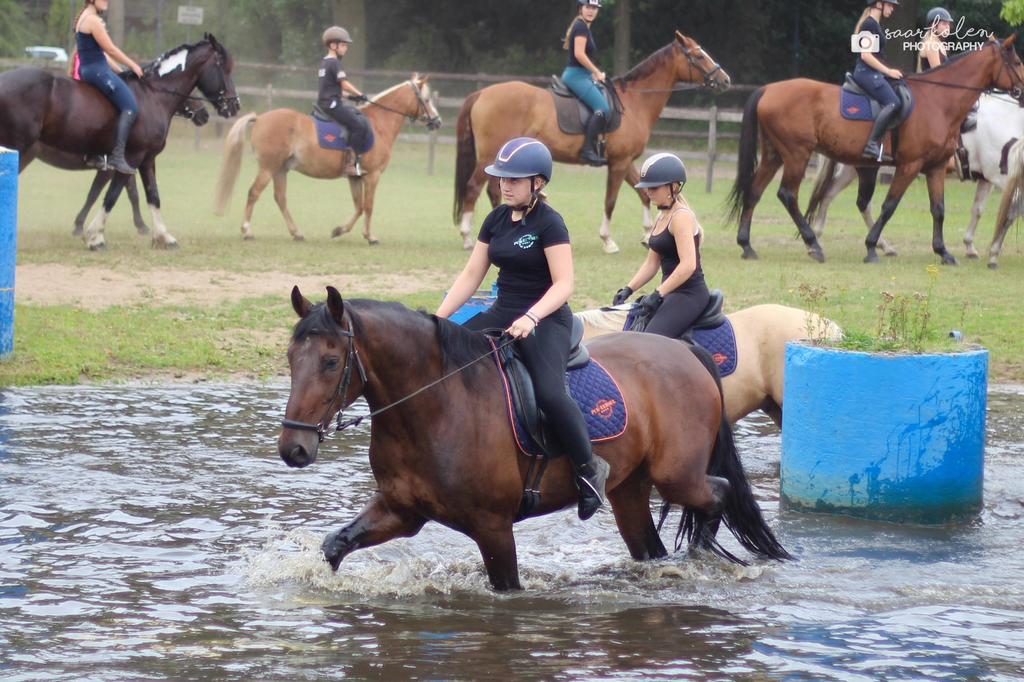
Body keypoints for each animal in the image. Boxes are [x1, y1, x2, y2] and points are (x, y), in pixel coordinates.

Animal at [0, 34, 240, 250]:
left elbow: (152, 196)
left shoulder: (146, 160)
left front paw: (164, 237)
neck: (153, 96)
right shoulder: (129, 159)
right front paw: (95, 237)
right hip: (18, 149)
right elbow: (111, 196)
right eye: (225, 69)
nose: (234, 106)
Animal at [213, 75, 441, 245]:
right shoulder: (373, 175)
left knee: (280, 198)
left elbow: (359, 207)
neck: (378, 125)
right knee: (254, 193)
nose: (437, 122)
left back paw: (296, 233)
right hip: (268, 168)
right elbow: (368, 206)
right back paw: (247, 231)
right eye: (426, 100)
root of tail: (260, 118)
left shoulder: (356, 177)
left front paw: (339, 230)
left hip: (280, 170)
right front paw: (370, 237)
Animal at [278, 286, 790, 591]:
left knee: (717, 492)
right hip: (630, 489)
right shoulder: (402, 510)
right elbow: (335, 546)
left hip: (677, 475)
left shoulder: (492, 526)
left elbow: (507, 587)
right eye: (289, 358)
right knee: (651, 544)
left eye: (330, 362)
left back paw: (700, 558)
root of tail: (684, 350)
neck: (434, 404)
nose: (293, 450)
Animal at [452, 31, 730, 253]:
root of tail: (482, 92)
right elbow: (611, 201)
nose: (725, 80)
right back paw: (466, 237)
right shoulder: (618, 163)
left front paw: (647, 234)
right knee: (473, 187)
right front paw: (608, 241)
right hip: (489, 155)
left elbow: (645, 195)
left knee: (492, 190)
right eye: (699, 55)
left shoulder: (627, 161)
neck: (635, 102)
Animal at [805, 93, 1024, 267]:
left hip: (851, 169)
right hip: (867, 170)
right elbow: (1009, 213)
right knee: (861, 203)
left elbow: (978, 210)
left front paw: (970, 246)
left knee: (829, 195)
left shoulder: (986, 179)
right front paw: (991, 253)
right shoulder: (999, 176)